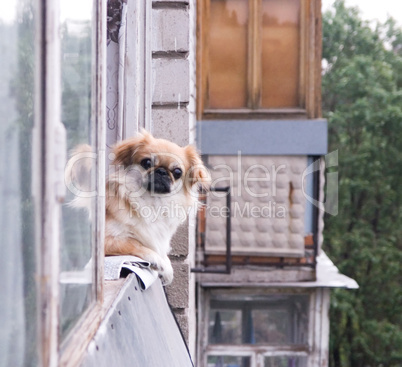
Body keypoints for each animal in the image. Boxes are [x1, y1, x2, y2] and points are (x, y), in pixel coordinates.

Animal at [64, 131, 209, 286]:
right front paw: (159, 263)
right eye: (147, 163)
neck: (150, 202)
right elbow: (135, 243)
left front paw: (167, 269)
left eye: (177, 172)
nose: (162, 171)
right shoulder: (106, 240)